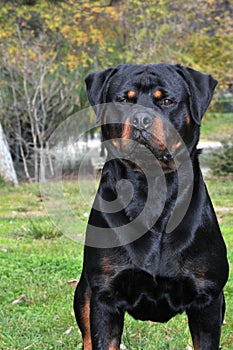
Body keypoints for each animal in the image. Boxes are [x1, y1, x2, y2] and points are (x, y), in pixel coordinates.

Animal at [73, 63, 228, 350]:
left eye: (166, 101)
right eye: (124, 100)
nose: (141, 120)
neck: (151, 188)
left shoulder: (208, 299)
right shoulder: (104, 296)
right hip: (84, 293)